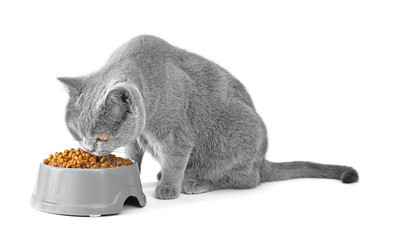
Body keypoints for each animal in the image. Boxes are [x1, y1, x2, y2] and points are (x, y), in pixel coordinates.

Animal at [58, 34, 358, 200]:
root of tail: (263, 161)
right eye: (78, 134)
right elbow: (134, 154)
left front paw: (168, 188)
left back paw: (193, 182)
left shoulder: (177, 136)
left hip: (239, 139)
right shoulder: (136, 137)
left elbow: (176, 158)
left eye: (101, 137)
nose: (89, 148)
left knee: (245, 180)